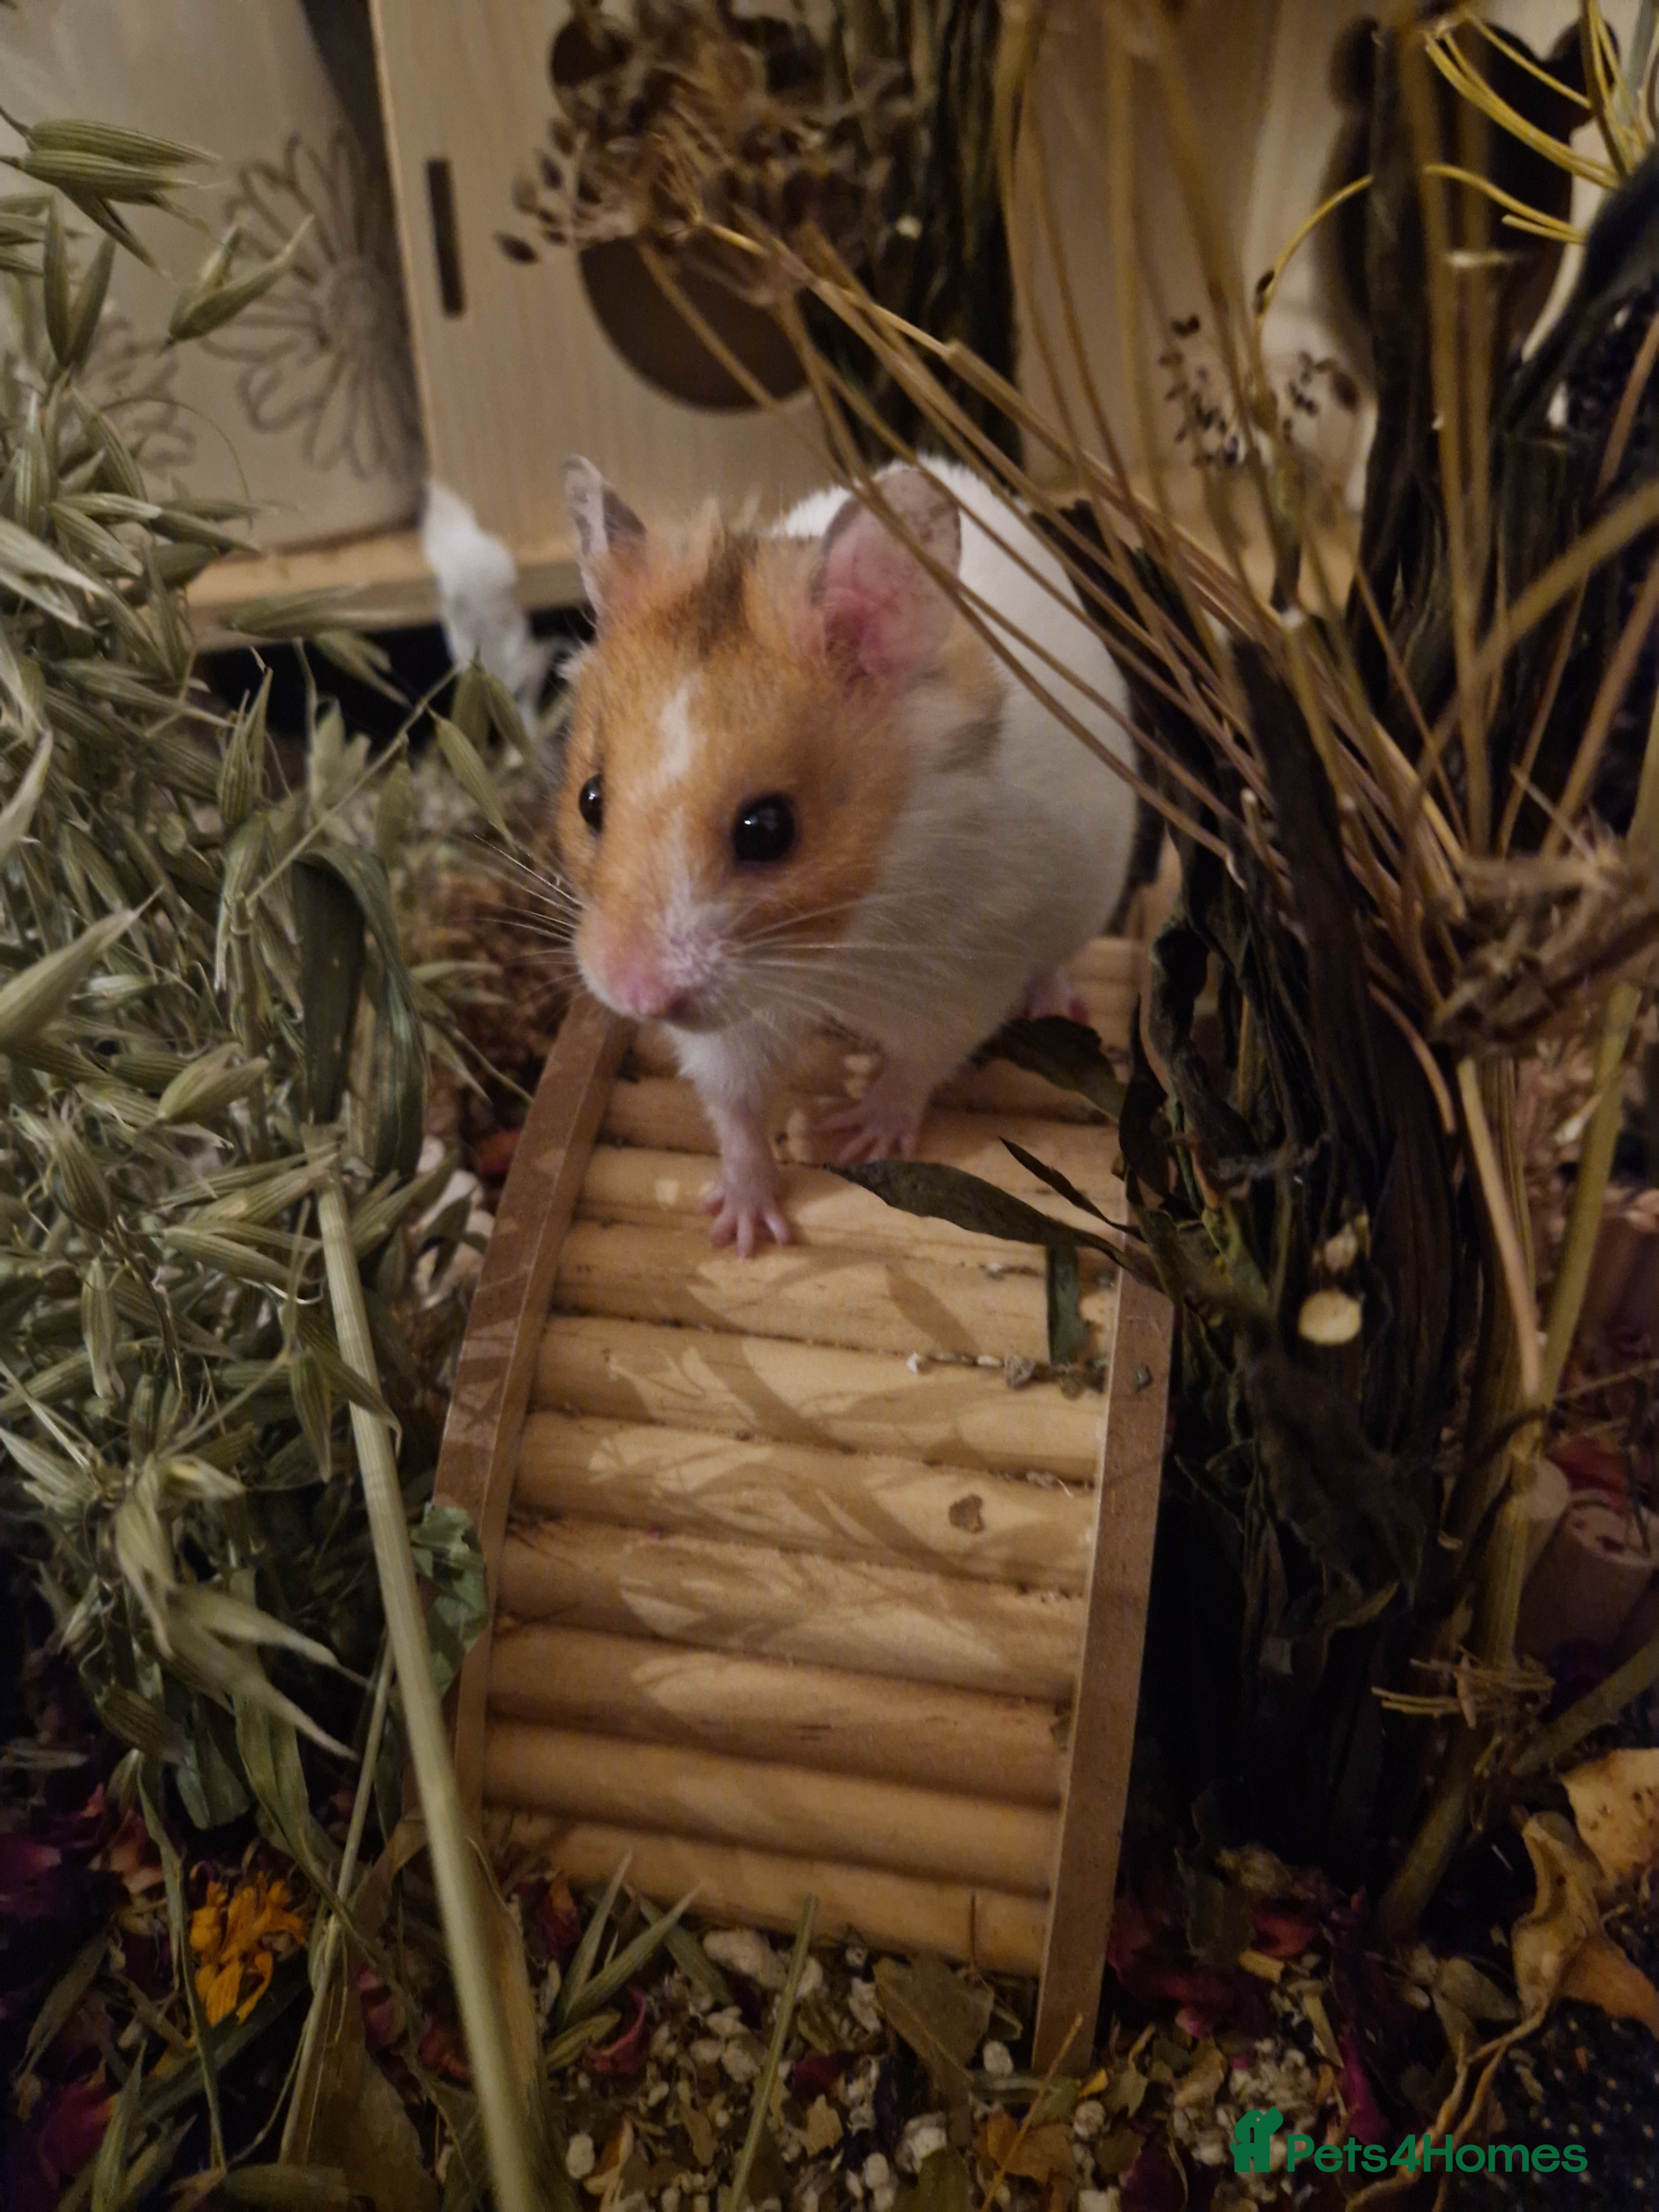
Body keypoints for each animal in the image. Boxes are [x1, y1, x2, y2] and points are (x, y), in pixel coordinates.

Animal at [555, 454, 1139, 1254]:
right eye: (591, 800)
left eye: (767, 829)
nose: (634, 995)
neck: (825, 953)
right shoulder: (729, 1037)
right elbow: (736, 1109)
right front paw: (743, 1233)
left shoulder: (959, 979)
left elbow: (914, 1068)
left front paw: (850, 1136)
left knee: (1053, 968)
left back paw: (1058, 1004)